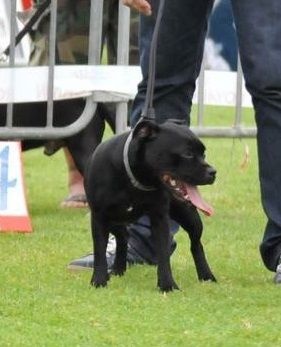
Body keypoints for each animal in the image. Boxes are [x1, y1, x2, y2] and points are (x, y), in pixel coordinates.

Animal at [84, 120, 215, 294]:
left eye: (203, 154)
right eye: (187, 153)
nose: (213, 172)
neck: (133, 179)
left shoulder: (159, 218)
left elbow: (163, 254)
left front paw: (167, 285)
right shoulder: (99, 217)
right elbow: (99, 251)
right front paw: (99, 281)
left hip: (190, 218)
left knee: (196, 244)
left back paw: (206, 276)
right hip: (113, 220)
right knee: (123, 236)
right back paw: (118, 269)